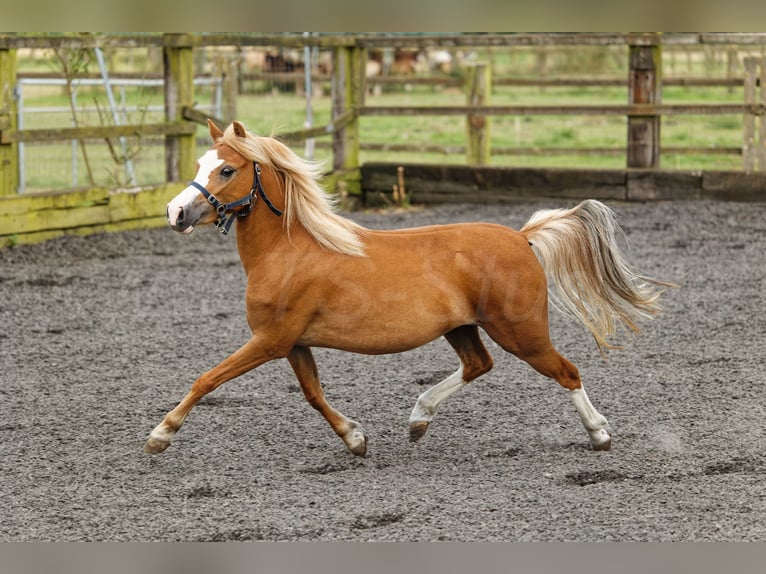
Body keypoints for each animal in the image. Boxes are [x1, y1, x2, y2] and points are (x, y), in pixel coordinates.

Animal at [146, 121, 672, 460]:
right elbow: (313, 394)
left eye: (227, 170)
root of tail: (521, 237)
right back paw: (419, 419)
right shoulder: (293, 343)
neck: (290, 251)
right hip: (463, 328)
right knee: (478, 365)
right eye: (201, 161)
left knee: (566, 371)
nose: (175, 213)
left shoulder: (270, 340)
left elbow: (207, 379)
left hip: (520, 331)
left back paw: (599, 435)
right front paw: (356, 439)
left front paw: (160, 435)